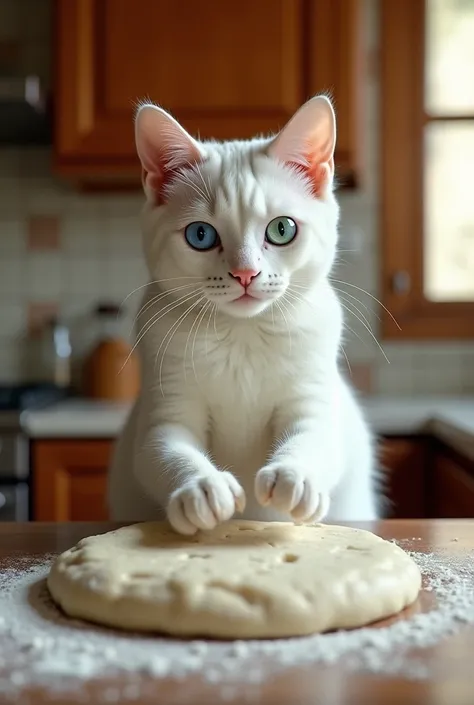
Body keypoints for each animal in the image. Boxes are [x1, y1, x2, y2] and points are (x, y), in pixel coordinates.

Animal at [107, 95, 378, 532]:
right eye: (200, 235)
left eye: (282, 229)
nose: (245, 273)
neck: (243, 334)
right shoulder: (166, 409)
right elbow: (165, 451)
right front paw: (202, 488)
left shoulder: (312, 399)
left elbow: (314, 437)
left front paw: (295, 478)